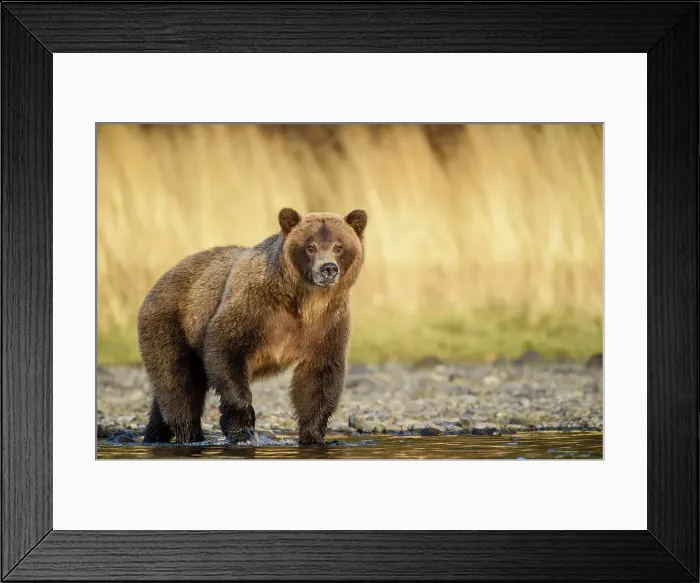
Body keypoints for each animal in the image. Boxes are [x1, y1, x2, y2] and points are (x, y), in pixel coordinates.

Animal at [137, 207, 367, 446]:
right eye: (310, 247)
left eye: (338, 246)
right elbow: (225, 347)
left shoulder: (326, 324)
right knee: (178, 381)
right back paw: (189, 434)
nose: (328, 268)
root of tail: (161, 279)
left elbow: (320, 376)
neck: (305, 301)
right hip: (173, 323)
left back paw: (155, 434)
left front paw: (313, 435)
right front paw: (241, 426)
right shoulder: (254, 307)